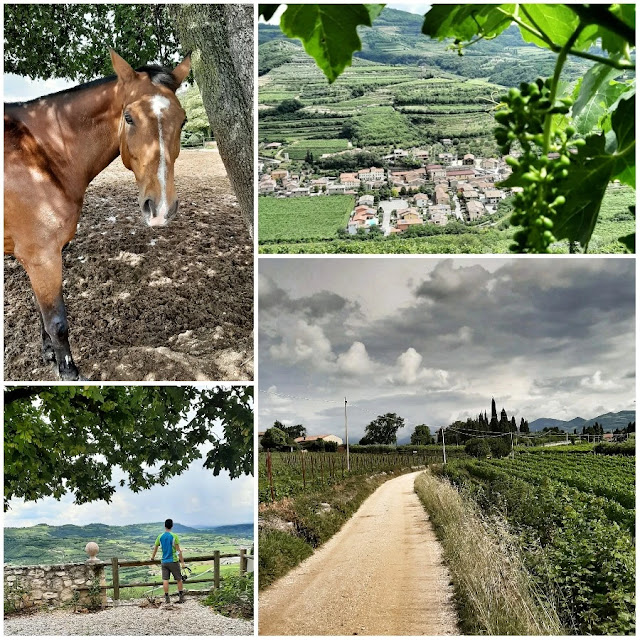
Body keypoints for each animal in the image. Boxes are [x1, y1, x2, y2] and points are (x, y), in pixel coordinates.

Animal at [4, 51, 190, 380]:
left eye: (183, 120)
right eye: (129, 117)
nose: (161, 209)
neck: (38, 153)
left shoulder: (39, 259)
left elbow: (41, 312)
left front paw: (49, 354)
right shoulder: (42, 257)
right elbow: (56, 321)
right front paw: (68, 372)